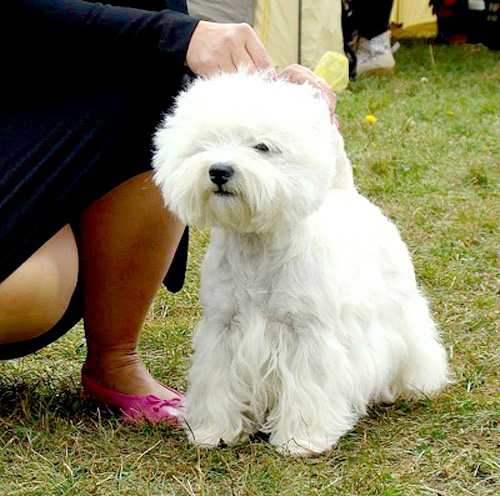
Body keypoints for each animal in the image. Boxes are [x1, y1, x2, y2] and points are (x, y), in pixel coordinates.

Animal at [153, 70, 450, 458]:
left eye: (262, 147)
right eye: (206, 143)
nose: (219, 171)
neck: (256, 244)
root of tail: (345, 192)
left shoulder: (306, 334)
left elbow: (309, 389)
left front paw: (300, 440)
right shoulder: (223, 329)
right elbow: (218, 383)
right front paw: (213, 432)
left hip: (400, 307)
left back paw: (411, 386)